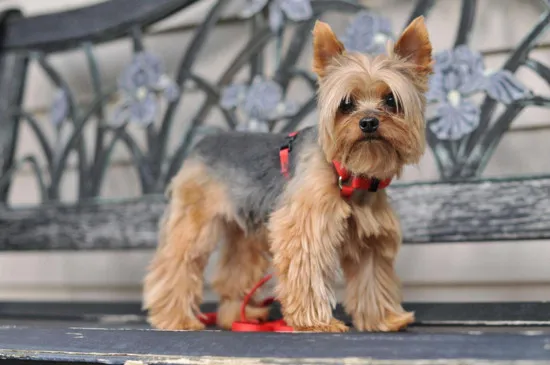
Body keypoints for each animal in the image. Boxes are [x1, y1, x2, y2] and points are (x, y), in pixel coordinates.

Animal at [143, 15, 436, 332]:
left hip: (245, 230)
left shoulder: (370, 238)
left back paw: (238, 317)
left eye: (391, 100)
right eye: (346, 104)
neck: (349, 173)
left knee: (234, 272)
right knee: (176, 263)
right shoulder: (305, 225)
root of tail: (201, 143)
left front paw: (383, 319)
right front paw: (316, 322)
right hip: (194, 218)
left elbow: (372, 278)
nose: (369, 122)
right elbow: (307, 272)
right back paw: (177, 317)